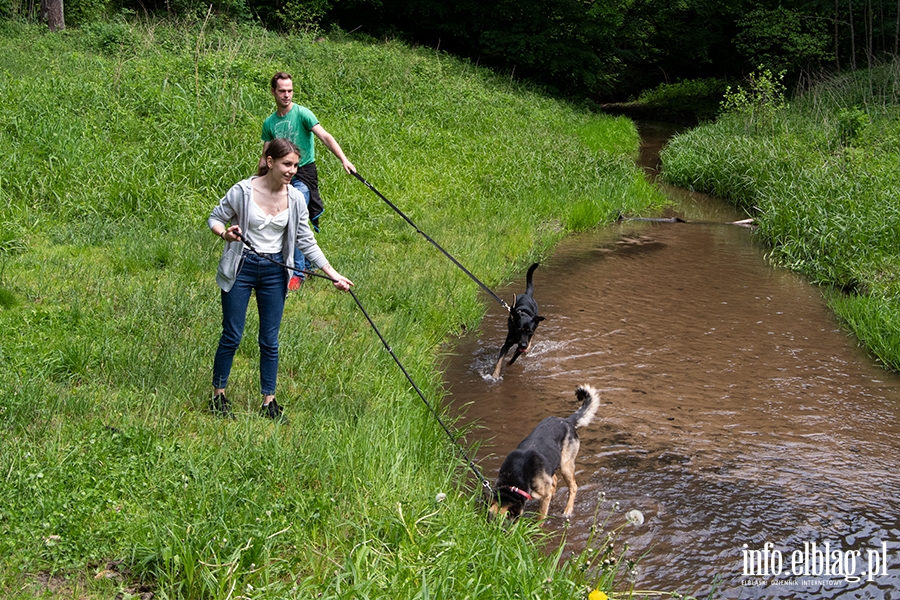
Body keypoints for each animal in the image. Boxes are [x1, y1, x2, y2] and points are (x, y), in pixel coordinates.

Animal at [488, 384, 600, 520]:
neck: (515, 479)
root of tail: (567, 421)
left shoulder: (544, 496)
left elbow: (541, 517)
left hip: (565, 466)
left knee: (573, 487)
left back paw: (568, 510)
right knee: (555, 479)